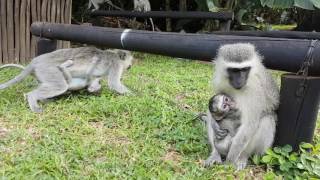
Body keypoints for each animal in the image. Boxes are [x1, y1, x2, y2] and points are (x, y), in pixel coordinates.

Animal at [0, 47, 133, 113]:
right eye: (130, 60)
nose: (131, 65)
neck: (114, 54)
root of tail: (36, 61)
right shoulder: (116, 64)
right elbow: (114, 83)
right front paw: (135, 96)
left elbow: (94, 82)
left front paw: (94, 87)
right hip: (48, 69)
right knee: (60, 86)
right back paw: (33, 98)